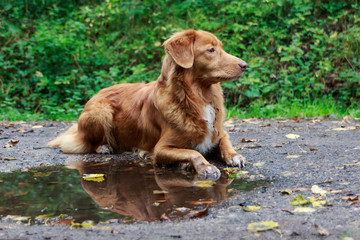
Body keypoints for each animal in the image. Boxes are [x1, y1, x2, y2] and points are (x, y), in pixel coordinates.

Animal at [49, 29, 249, 177]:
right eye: (211, 50)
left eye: (221, 48)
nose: (244, 65)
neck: (197, 96)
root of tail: (96, 94)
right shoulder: (160, 148)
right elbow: (194, 152)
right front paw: (201, 166)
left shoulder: (218, 132)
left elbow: (225, 143)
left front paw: (234, 156)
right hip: (101, 110)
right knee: (87, 143)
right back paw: (104, 147)